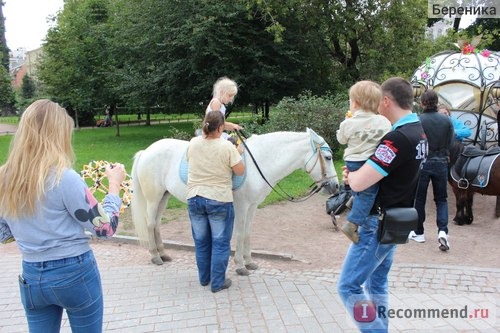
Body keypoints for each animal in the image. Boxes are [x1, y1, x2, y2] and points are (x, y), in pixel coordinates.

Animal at [131, 127, 338, 274]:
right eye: (328, 157)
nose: (336, 186)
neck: (260, 161)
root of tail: (146, 151)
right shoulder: (241, 206)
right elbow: (238, 234)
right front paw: (240, 265)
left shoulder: (252, 206)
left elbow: (247, 233)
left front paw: (250, 262)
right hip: (153, 198)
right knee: (150, 224)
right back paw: (155, 256)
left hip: (164, 197)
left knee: (157, 224)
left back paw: (163, 254)